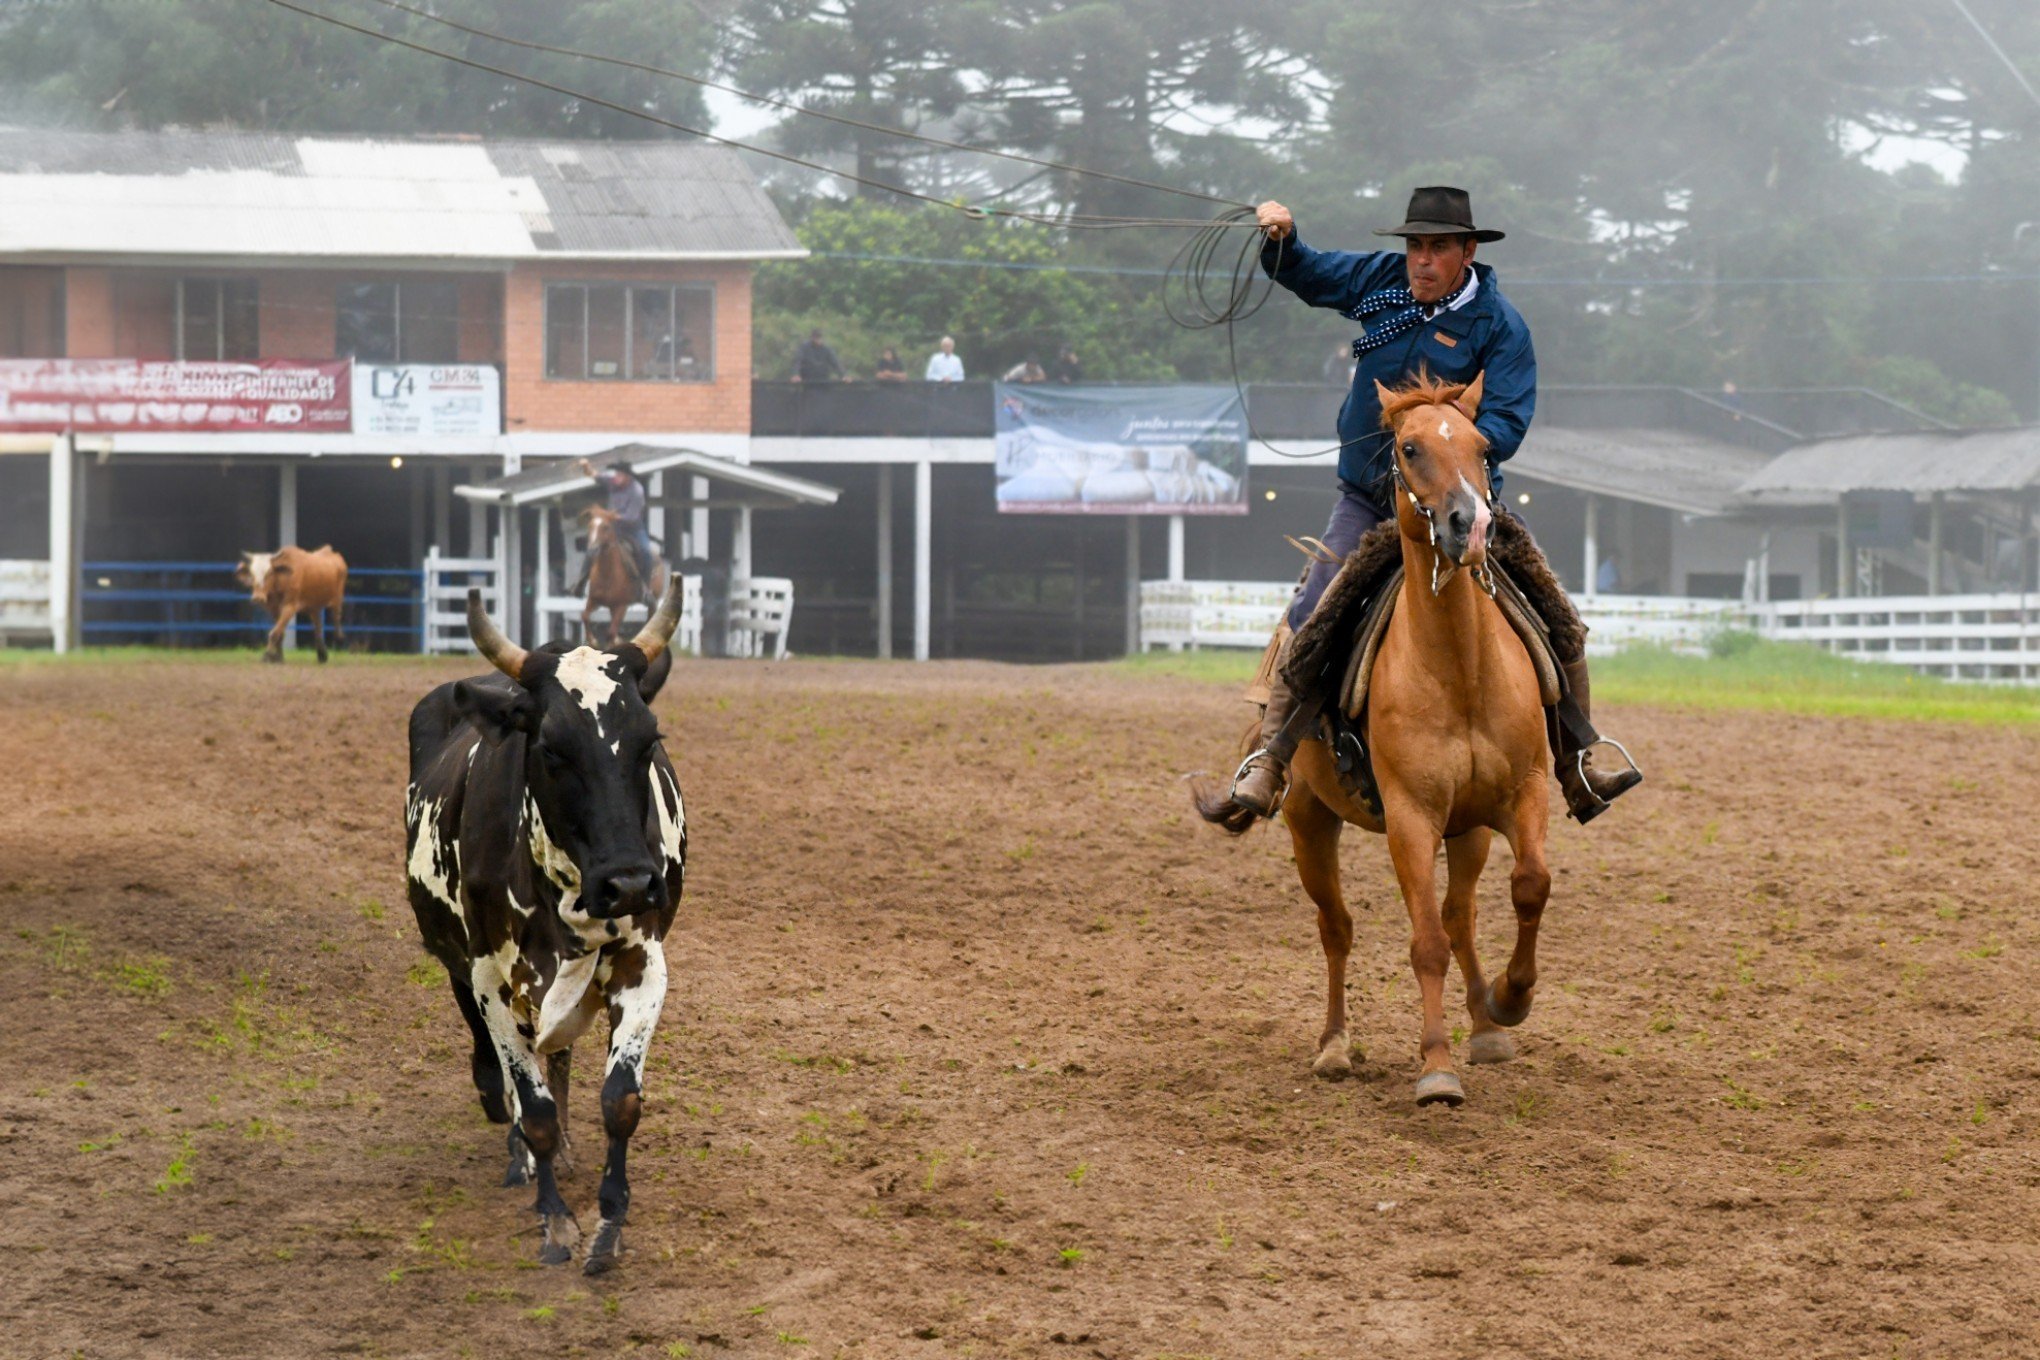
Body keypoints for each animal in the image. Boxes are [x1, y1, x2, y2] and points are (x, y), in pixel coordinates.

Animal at [405, 583, 693, 1280]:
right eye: (553, 748)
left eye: (648, 740)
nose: (631, 883)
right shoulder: (488, 975)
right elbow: (528, 1101)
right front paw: (556, 1219)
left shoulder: (644, 963)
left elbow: (619, 1099)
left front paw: (609, 1223)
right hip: (462, 967)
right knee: (506, 1069)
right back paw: (521, 1149)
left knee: (555, 1057)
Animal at [575, 509, 669, 648]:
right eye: (590, 526)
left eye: (606, 527)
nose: (592, 550)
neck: (607, 574)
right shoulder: (593, 600)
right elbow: (584, 616)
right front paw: (592, 641)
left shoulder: (621, 606)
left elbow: (611, 633)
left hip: (652, 601)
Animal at [1191, 369, 1542, 1109]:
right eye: (1409, 448)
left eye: (1483, 446)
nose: (1472, 526)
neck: (1459, 671)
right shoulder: (1410, 818)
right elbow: (1424, 942)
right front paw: (1436, 1068)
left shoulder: (1521, 796)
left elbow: (1528, 887)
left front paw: (1509, 999)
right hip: (1309, 822)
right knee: (1339, 927)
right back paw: (1333, 1045)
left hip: (1467, 830)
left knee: (1461, 913)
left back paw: (1485, 1026)